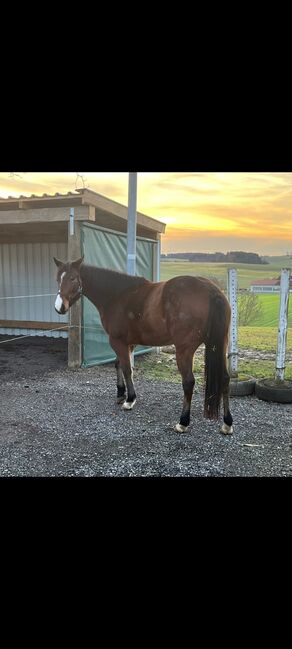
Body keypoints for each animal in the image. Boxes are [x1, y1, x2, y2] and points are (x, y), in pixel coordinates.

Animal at [53, 256, 234, 432]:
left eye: (73, 278)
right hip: (220, 345)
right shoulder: (128, 343)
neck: (117, 295)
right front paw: (121, 393)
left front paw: (129, 400)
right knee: (225, 379)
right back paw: (227, 423)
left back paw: (183, 422)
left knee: (188, 382)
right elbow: (120, 365)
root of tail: (211, 290)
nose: (59, 307)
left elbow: (127, 369)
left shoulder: (117, 341)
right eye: (58, 278)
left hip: (184, 350)